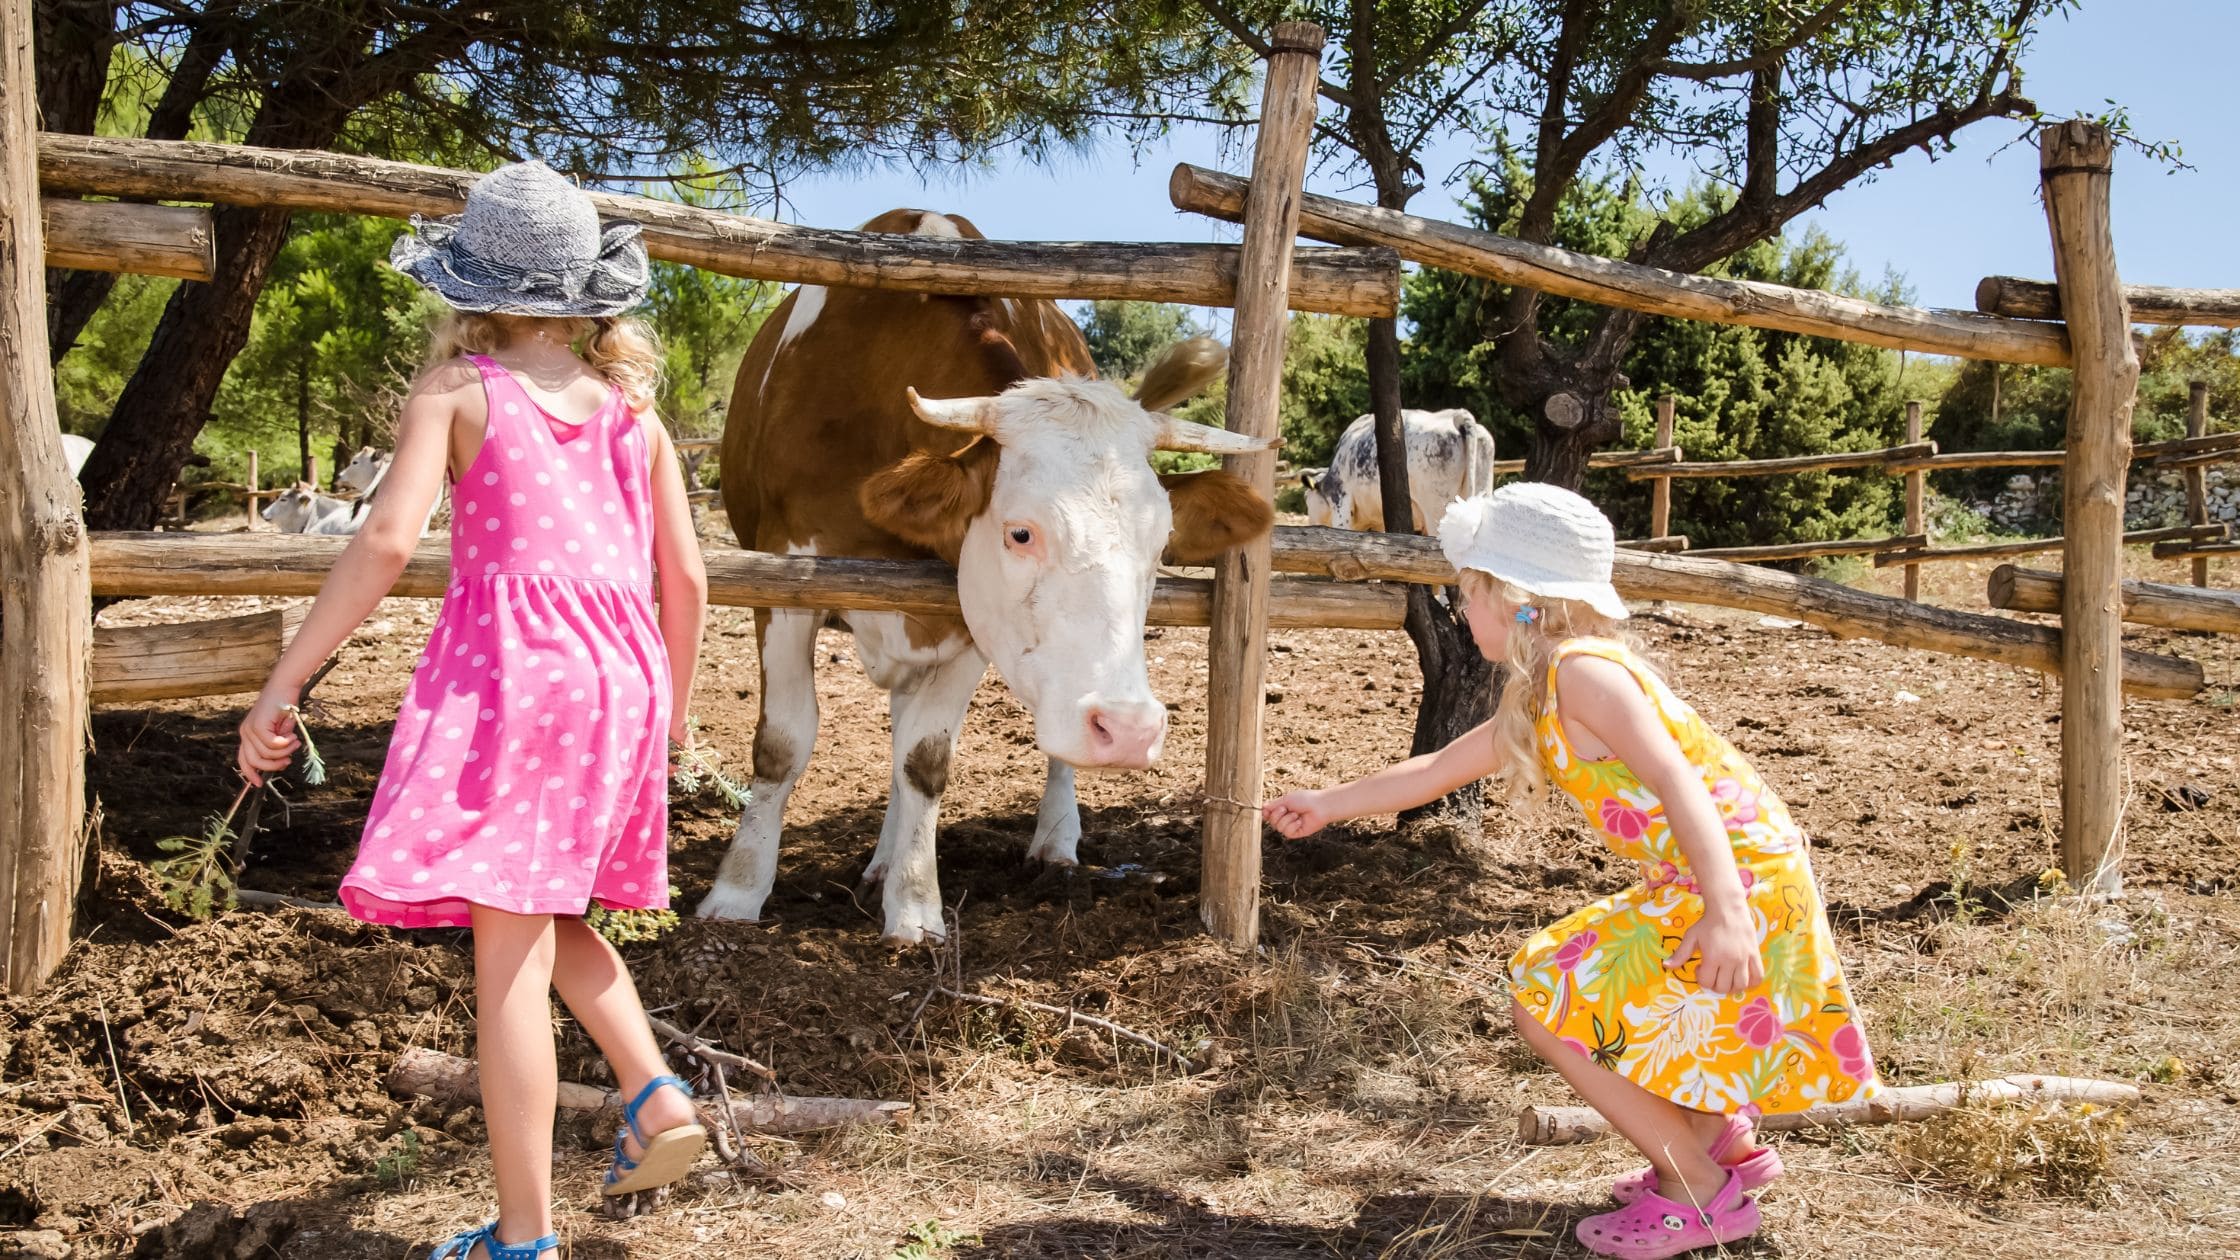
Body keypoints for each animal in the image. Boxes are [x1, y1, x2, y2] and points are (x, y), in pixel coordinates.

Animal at [694, 208, 1281, 941]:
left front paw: (915, 904)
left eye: (1161, 542)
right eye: (1020, 532)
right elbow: (782, 742)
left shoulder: (967, 616)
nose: (1130, 730)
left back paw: (1049, 840)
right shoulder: (783, 580)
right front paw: (737, 894)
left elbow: (925, 758)